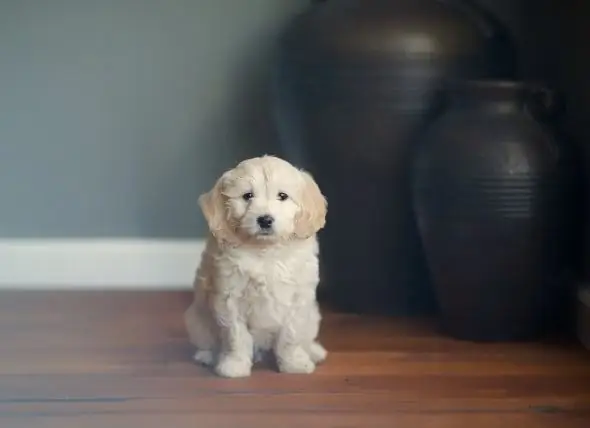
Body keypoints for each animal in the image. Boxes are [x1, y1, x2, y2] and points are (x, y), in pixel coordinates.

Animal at [185, 155, 328, 376]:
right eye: (247, 196)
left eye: (282, 196)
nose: (265, 220)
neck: (264, 251)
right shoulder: (229, 297)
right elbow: (236, 336)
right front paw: (234, 365)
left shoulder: (299, 297)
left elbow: (291, 335)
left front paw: (294, 363)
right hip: (196, 320)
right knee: (206, 340)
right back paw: (207, 356)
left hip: (313, 318)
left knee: (306, 337)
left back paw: (313, 351)